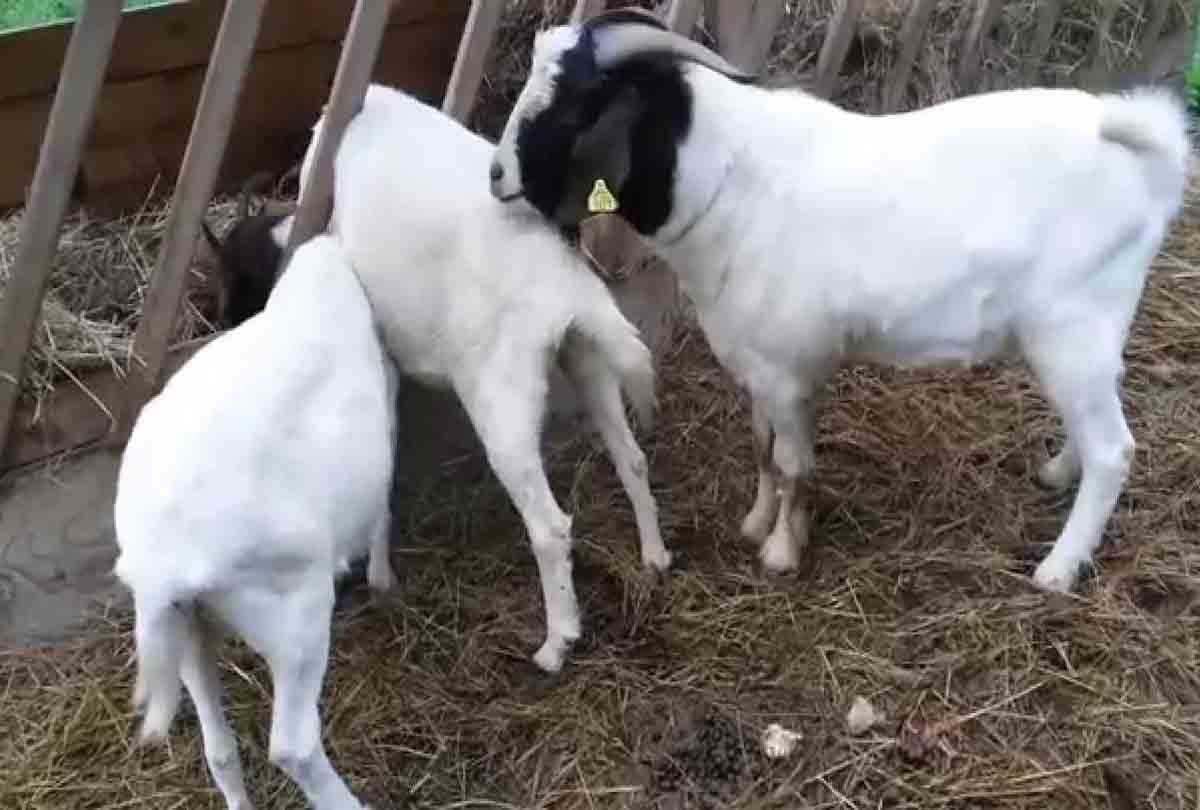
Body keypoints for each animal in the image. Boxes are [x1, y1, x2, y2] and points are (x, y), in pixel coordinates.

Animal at [113, 234, 396, 810]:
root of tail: (162, 568)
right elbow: (383, 493)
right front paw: (382, 575)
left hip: (187, 631)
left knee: (218, 749)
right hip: (293, 617)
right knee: (293, 746)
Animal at [488, 8, 1191, 593]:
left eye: (573, 105)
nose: (497, 176)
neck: (730, 179)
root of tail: (1151, 155)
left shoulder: (787, 368)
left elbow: (793, 464)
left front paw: (780, 553)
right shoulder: (764, 365)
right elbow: (764, 449)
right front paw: (759, 522)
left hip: (1072, 327)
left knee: (1114, 450)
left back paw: (1057, 569)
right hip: (1088, 337)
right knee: (1098, 415)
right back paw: (1057, 472)